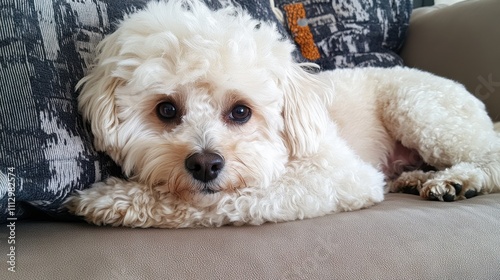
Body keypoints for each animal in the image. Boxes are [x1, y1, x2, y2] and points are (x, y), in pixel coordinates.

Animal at [64, 0, 498, 228]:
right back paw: (416, 178)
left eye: (241, 111)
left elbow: (226, 199)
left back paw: (456, 180)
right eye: (166, 110)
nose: (205, 164)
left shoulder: (339, 176)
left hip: (417, 108)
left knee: (488, 157)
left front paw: (113, 199)